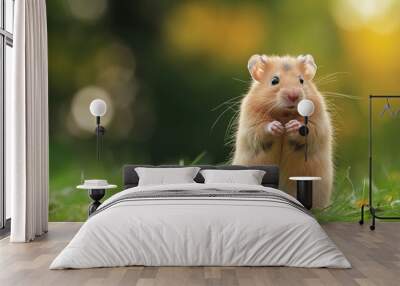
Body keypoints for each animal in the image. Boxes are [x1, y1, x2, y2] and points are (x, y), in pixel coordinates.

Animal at [233, 53, 332, 208]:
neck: (284, 114)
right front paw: (277, 127)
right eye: (274, 81)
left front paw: (292, 126)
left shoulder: (318, 123)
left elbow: (310, 130)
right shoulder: (251, 123)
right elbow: (261, 129)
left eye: (301, 80)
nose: (293, 96)